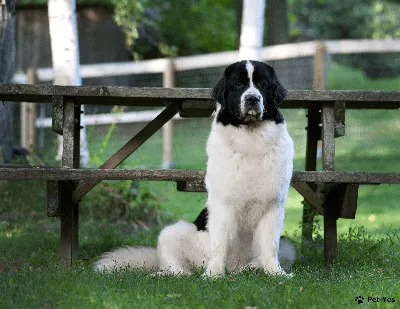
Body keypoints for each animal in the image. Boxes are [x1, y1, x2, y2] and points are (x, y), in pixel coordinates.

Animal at [93, 60, 294, 276]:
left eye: (263, 85)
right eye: (239, 85)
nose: (252, 99)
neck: (250, 141)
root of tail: (235, 268)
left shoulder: (274, 206)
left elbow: (270, 245)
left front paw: (275, 273)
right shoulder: (222, 205)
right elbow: (220, 243)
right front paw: (214, 275)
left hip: (288, 246)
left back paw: (252, 268)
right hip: (172, 233)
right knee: (178, 268)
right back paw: (169, 274)